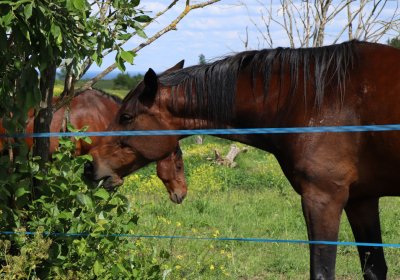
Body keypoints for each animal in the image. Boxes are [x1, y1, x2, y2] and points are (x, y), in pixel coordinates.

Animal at [86, 40, 400, 278]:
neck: (314, 100)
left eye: (126, 117)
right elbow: (375, 269)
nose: (92, 166)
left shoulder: (323, 198)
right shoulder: (361, 200)